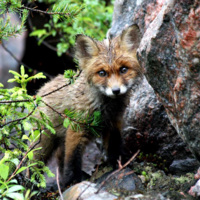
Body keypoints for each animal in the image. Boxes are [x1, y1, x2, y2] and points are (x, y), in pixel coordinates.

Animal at [34, 25, 142, 188]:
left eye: (123, 70)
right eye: (102, 73)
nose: (116, 90)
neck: (106, 109)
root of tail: (43, 89)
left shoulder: (114, 123)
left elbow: (114, 147)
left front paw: (120, 165)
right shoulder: (76, 129)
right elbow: (72, 160)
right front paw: (73, 182)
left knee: (59, 157)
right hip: (43, 142)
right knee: (32, 163)